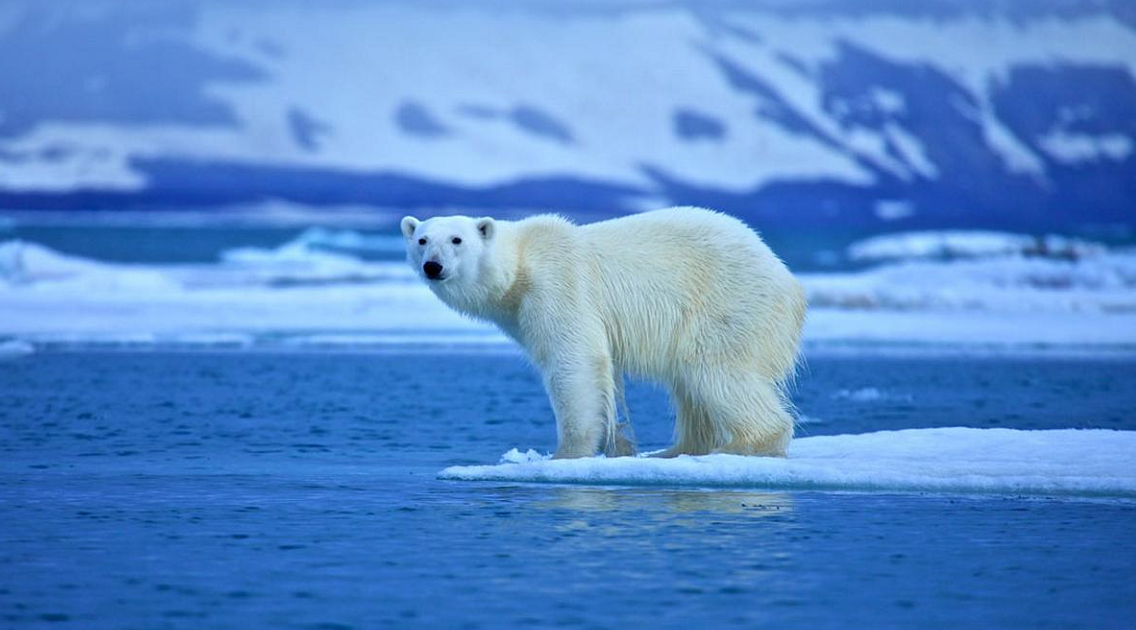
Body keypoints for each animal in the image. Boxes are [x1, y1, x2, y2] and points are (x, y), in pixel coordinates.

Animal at [404, 210, 804, 460]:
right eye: (422, 239)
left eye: (457, 239)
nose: (433, 266)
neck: (519, 268)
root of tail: (789, 281)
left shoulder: (558, 285)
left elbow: (575, 360)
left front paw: (565, 453)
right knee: (690, 386)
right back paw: (675, 450)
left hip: (728, 303)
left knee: (717, 372)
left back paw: (744, 444)